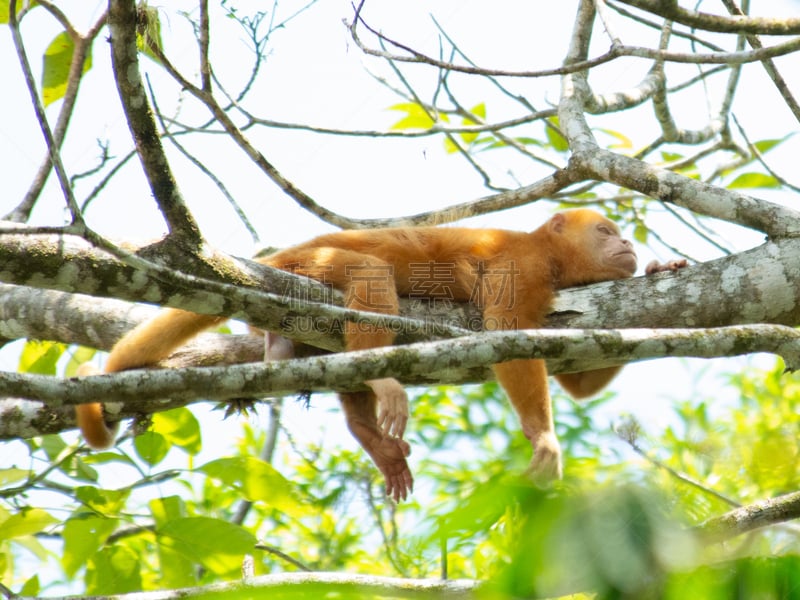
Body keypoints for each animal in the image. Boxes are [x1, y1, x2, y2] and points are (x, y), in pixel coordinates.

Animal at [75, 211, 680, 502]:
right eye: (605, 230)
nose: (628, 244)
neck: (551, 255)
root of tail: (276, 258)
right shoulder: (523, 266)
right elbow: (507, 335)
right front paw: (544, 439)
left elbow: (576, 380)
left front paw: (661, 269)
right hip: (313, 267)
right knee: (369, 275)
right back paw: (382, 387)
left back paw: (356, 422)